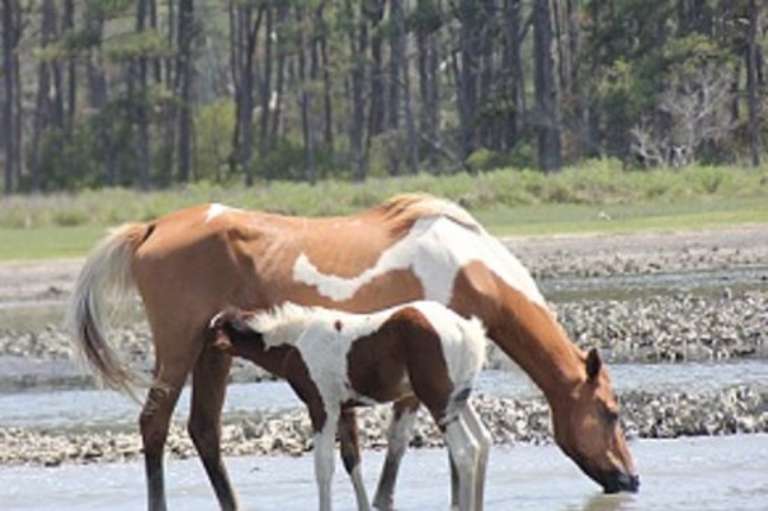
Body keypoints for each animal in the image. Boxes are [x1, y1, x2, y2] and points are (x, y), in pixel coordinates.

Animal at [208, 301, 490, 511]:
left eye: (212, 333)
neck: (296, 341)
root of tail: (464, 327)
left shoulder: (322, 406)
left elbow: (324, 466)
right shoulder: (344, 409)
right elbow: (351, 460)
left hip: (436, 399)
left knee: (465, 451)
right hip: (456, 398)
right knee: (483, 441)